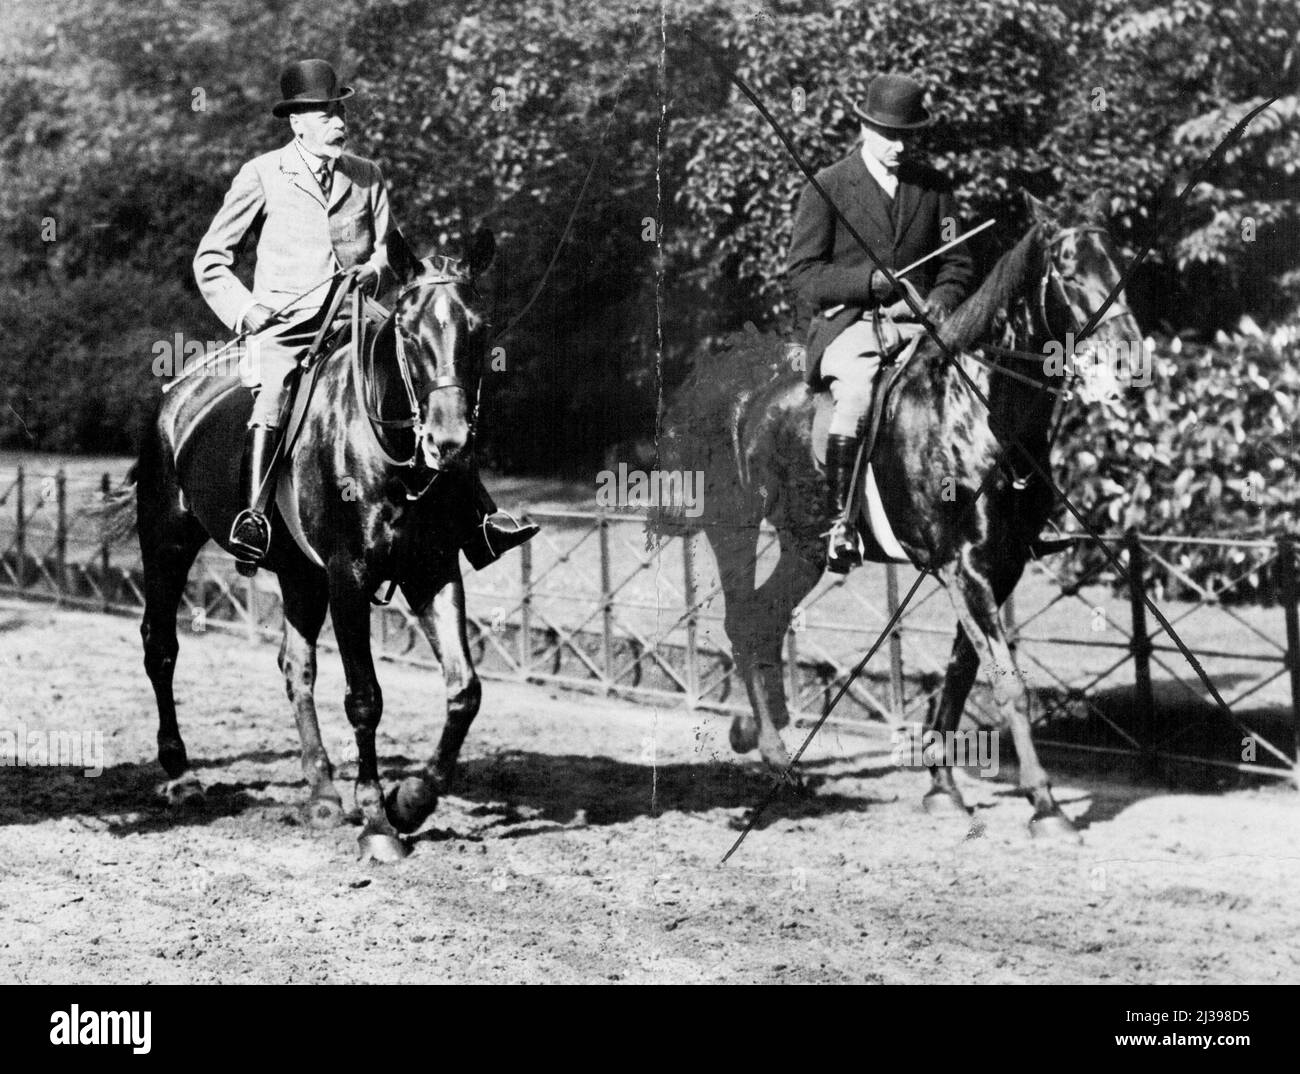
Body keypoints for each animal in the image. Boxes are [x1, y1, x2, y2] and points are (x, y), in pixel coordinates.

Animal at [101, 230, 493, 858]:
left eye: (478, 329)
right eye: (408, 332)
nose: (449, 442)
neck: (387, 449)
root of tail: (174, 397)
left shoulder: (432, 570)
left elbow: (465, 690)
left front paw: (410, 800)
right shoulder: (348, 576)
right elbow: (365, 697)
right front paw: (378, 822)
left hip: (297, 574)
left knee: (296, 666)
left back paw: (323, 791)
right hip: (167, 544)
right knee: (160, 647)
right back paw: (181, 774)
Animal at [660, 198, 1138, 837]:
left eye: (1119, 259)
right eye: (1066, 267)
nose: (1129, 354)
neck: (979, 411)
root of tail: (728, 380)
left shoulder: (999, 566)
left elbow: (963, 673)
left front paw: (943, 787)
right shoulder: (966, 568)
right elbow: (1007, 682)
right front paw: (1045, 803)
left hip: (805, 546)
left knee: (766, 617)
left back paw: (760, 734)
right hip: (731, 529)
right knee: (743, 619)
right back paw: (774, 754)